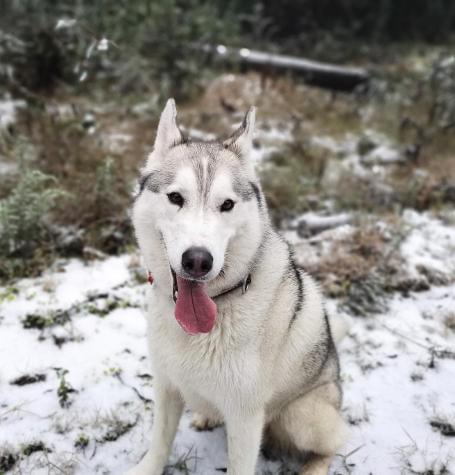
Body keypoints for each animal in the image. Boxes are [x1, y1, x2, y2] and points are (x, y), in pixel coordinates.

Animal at [129, 100, 350, 475]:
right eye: (176, 197)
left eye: (227, 204)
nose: (198, 261)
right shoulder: (167, 386)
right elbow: (159, 443)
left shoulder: (246, 417)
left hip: (303, 416)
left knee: (334, 444)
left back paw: (315, 467)